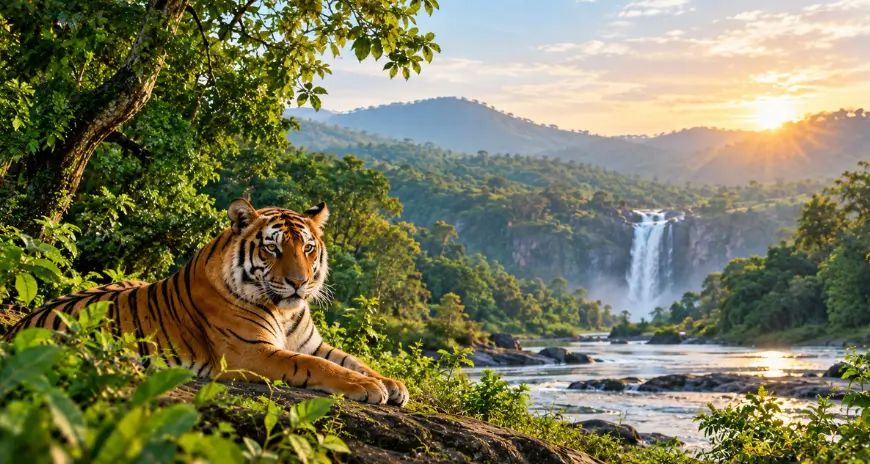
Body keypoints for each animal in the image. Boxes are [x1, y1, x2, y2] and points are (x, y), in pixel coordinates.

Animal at [4, 198, 409, 406]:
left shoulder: (312, 343)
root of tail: (14, 330)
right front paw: (368, 388)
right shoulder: (251, 353)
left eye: (308, 248)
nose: (299, 282)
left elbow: (352, 360)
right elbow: (315, 366)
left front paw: (393, 384)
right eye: (273, 247)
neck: (286, 310)